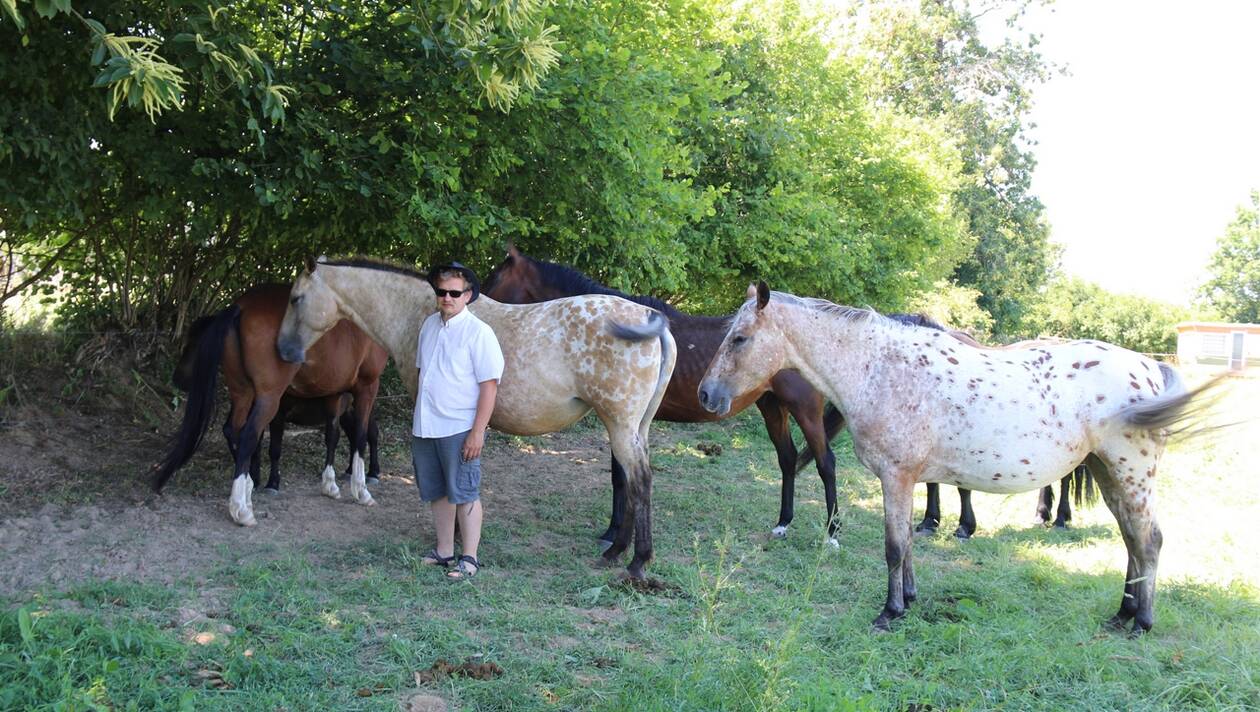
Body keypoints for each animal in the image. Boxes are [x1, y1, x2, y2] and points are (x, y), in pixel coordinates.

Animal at [149, 281, 383, 524]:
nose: (178, 379)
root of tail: (241, 307)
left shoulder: (335, 395)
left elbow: (334, 437)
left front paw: (330, 484)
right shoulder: (365, 387)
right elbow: (357, 436)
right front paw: (359, 490)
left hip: (245, 393)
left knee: (235, 430)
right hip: (270, 399)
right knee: (247, 435)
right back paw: (242, 507)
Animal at [700, 283, 1219, 632]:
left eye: (740, 338)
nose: (707, 394)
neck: (880, 370)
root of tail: (1148, 368)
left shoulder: (896, 476)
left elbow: (894, 545)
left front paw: (889, 612)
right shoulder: (907, 479)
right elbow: (908, 540)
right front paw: (909, 599)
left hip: (1132, 474)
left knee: (1148, 540)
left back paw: (1142, 622)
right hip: (1107, 473)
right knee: (1132, 539)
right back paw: (1122, 614)